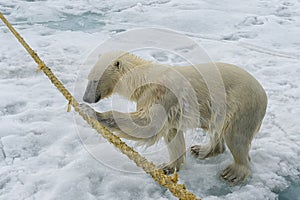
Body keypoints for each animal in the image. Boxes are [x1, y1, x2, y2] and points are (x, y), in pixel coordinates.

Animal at [80, 51, 268, 184]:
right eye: (88, 78)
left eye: (94, 80)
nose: (85, 98)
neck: (143, 78)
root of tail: (263, 94)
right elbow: (172, 134)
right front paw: (167, 167)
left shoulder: (161, 95)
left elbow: (148, 125)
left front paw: (91, 112)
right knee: (217, 129)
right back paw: (200, 149)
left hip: (241, 105)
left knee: (236, 136)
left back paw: (233, 173)